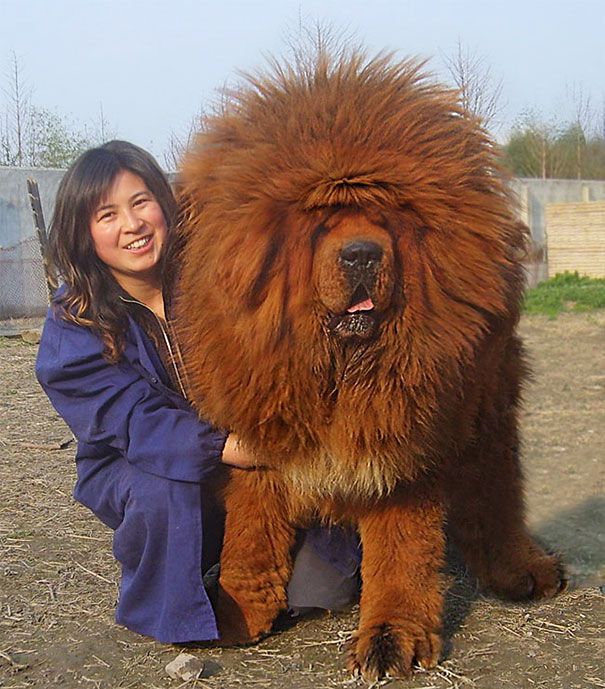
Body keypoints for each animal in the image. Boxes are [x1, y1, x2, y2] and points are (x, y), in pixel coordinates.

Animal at [173, 49, 560, 684]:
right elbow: (250, 538)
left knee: (496, 490)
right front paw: (233, 613)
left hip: (486, 411)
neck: (341, 370)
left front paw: (390, 638)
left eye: (386, 219)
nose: (360, 255)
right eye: (321, 221)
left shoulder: (405, 443)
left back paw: (523, 571)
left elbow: (401, 553)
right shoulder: (260, 435)